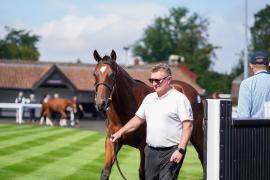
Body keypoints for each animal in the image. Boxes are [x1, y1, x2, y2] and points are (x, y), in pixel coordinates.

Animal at [92, 49, 202, 180]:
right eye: (94, 74)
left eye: (112, 74)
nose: (101, 103)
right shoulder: (112, 141)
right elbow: (105, 172)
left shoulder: (144, 147)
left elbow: (143, 173)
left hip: (196, 136)